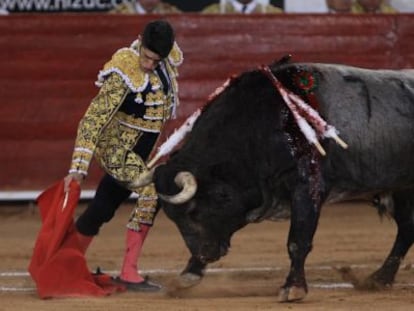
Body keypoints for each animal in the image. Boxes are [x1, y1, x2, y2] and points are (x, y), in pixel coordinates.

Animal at [150, 62, 414, 304]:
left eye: (194, 212)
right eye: (173, 217)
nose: (205, 255)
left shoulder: (307, 188)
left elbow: (298, 240)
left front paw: (293, 288)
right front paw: (188, 275)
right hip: (401, 189)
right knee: (406, 229)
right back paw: (380, 279)